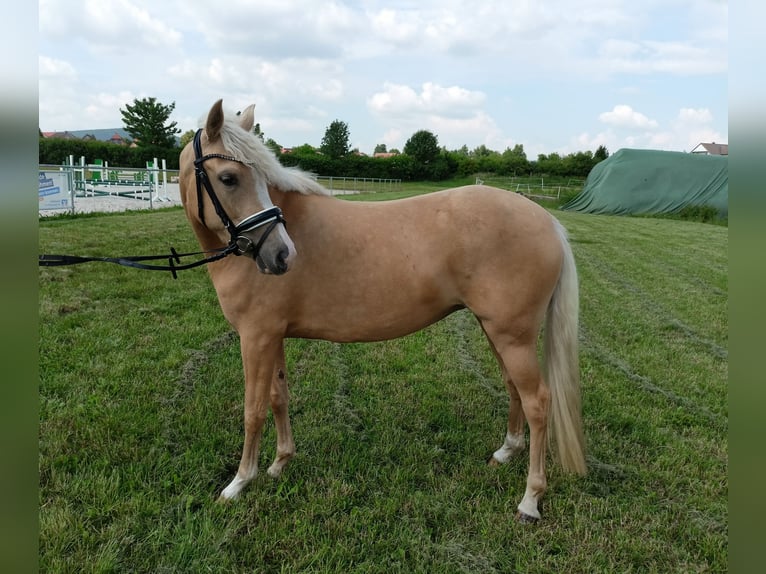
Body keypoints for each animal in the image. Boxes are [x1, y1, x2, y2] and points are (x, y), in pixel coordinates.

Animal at [180, 101, 588, 524]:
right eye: (228, 178)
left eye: (256, 177)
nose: (281, 255)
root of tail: (547, 221)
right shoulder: (272, 335)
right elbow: (278, 397)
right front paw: (280, 463)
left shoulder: (255, 337)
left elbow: (253, 409)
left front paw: (239, 482)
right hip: (497, 331)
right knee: (514, 388)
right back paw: (506, 452)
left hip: (513, 337)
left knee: (538, 402)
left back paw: (530, 500)